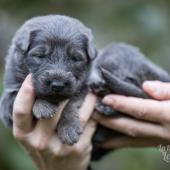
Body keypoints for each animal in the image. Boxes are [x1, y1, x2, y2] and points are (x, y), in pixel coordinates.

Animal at [0, 14, 97, 145]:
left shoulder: (82, 87)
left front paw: (69, 128)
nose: (58, 85)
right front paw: (43, 106)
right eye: (40, 55)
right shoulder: (9, 97)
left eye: (75, 58)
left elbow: (71, 103)